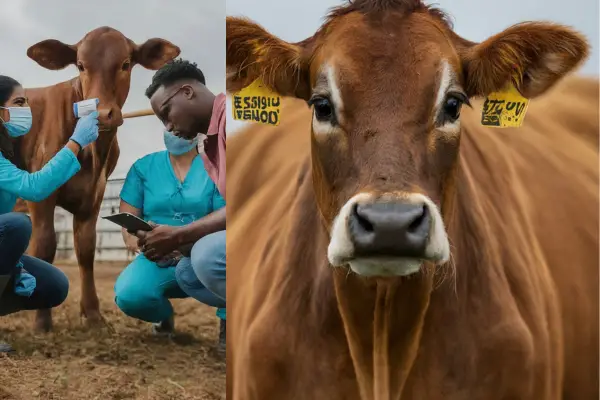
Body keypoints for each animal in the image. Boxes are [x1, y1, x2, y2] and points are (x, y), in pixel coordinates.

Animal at [13, 26, 178, 330]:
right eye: (80, 65)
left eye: (125, 63)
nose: (101, 114)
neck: (93, 154)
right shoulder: (41, 193)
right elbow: (44, 245)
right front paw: (42, 320)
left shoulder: (94, 194)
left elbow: (86, 249)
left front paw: (92, 314)